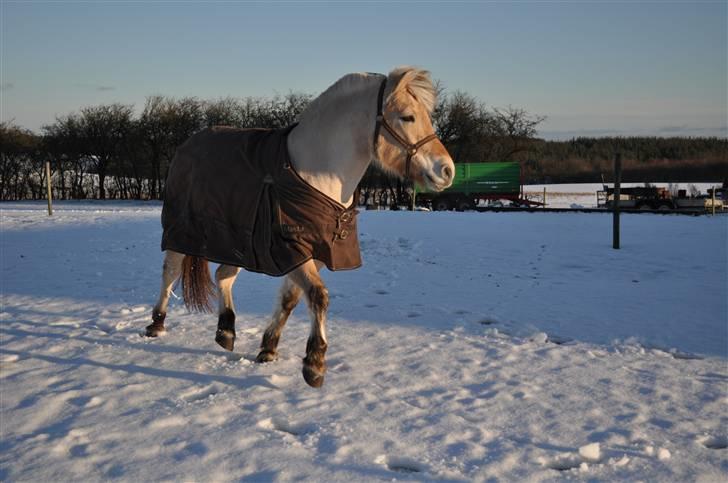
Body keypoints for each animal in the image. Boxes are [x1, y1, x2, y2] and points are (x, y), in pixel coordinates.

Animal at [144, 66, 456, 388]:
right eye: (407, 117)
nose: (447, 170)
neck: (317, 175)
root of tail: (187, 145)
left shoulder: (315, 253)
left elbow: (291, 298)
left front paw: (268, 348)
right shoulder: (292, 249)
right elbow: (318, 296)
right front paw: (315, 364)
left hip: (238, 244)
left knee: (223, 276)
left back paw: (226, 330)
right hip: (181, 233)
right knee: (171, 271)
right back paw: (157, 323)